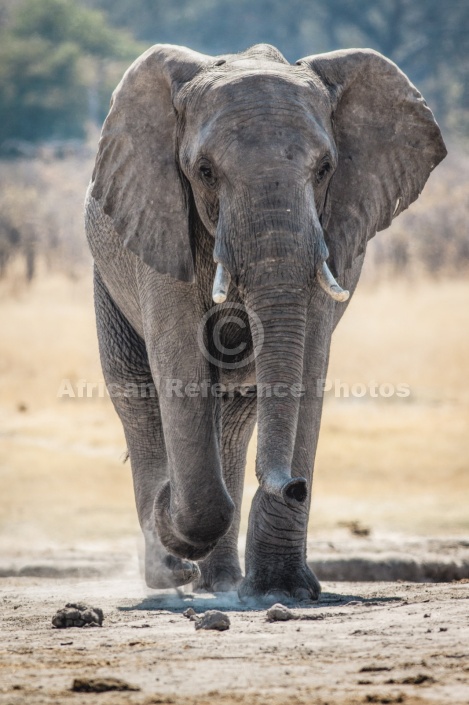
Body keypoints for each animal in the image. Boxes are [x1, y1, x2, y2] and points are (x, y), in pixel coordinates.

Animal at [85, 41, 446, 596]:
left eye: (325, 169)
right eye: (205, 171)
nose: (295, 486)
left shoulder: (335, 231)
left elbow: (308, 362)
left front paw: (283, 591)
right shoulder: (157, 220)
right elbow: (180, 369)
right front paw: (173, 524)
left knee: (236, 416)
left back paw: (218, 583)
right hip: (108, 274)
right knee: (139, 395)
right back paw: (172, 575)